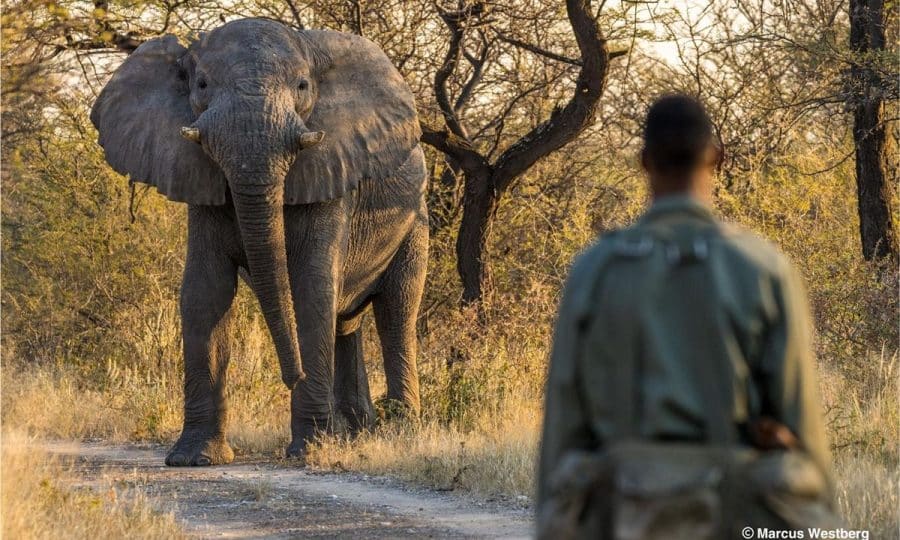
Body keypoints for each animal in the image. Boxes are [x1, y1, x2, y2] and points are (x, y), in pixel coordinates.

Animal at [90, 17, 428, 465]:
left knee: (397, 312)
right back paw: (354, 434)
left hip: (414, 220)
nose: (293, 375)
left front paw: (309, 451)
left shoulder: (332, 173)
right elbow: (205, 292)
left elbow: (312, 289)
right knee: (346, 323)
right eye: (201, 84)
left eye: (302, 85)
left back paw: (401, 432)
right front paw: (195, 458)